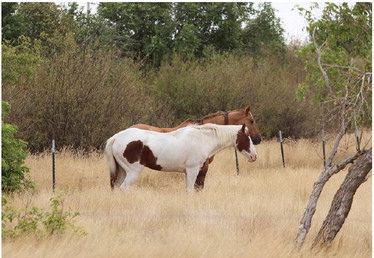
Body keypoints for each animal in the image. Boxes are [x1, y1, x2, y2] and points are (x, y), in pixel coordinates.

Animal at [112, 106, 262, 190]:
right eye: (251, 121)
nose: (258, 139)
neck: (204, 137)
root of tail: (116, 137)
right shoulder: (199, 169)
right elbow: (196, 188)